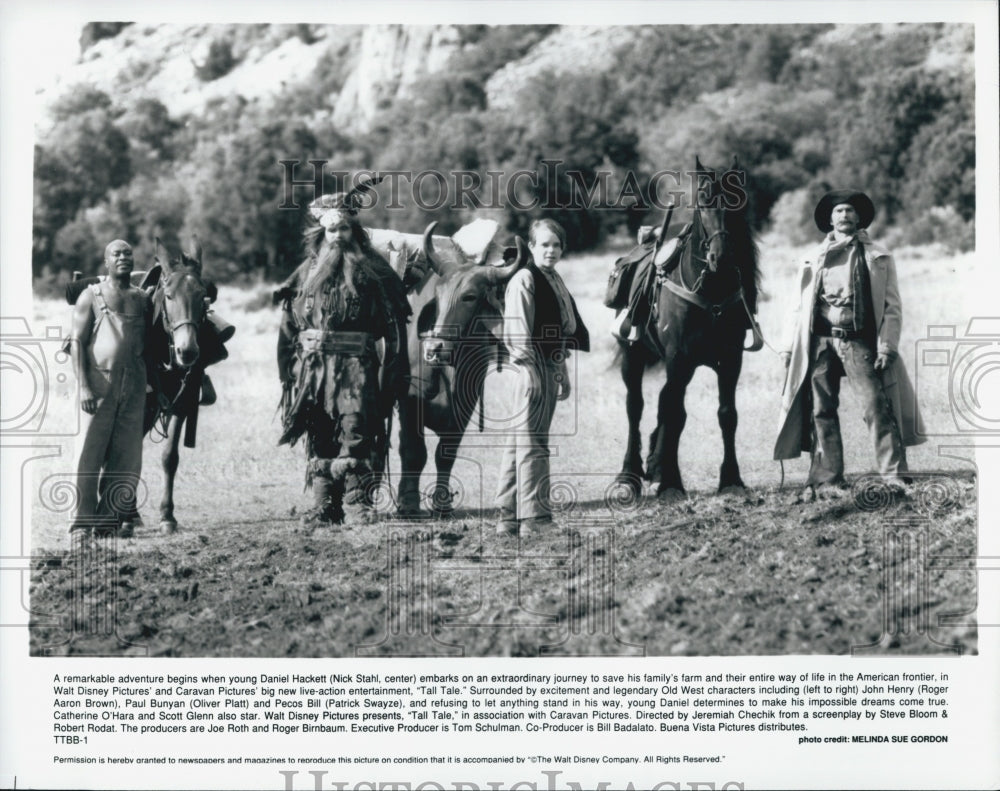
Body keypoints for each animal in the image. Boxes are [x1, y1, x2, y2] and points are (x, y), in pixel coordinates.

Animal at [142, 237, 233, 532]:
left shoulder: (182, 403)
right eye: (169, 296)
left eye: (204, 297)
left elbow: (170, 457)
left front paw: (167, 516)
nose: (188, 351)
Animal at [612, 156, 760, 502]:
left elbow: (726, 414)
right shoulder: (677, 359)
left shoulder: (730, 360)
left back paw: (653, 465)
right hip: (633, 357)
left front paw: (731, 478)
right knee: (635, 407)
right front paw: (671, 483)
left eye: (738, 202)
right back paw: (630, 474)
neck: (710, 292)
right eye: (703, 200)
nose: (722, 257)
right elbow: (676, 415)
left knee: (663, 403)